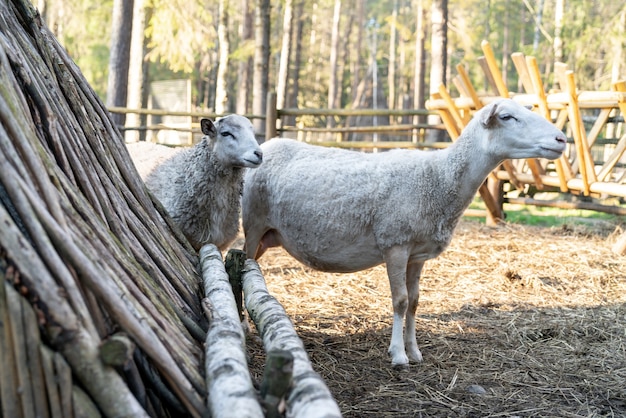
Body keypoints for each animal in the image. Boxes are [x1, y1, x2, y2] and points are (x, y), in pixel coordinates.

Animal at [240, 99, 564, 368]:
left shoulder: (417, 254)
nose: (561, 139)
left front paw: (415, 351)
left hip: (269, 234)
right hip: (253, 223)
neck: (439, 178)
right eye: (507, 117)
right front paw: (398, 355)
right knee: (242, 266)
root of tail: (267, 145)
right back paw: (244, 327)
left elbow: (416, 301)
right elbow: (400, 301)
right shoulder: (395, 243)